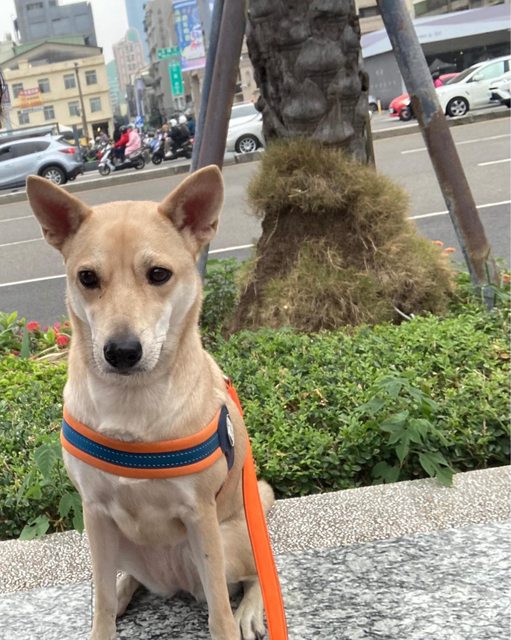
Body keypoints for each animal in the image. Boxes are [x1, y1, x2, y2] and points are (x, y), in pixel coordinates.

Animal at [27, 166, 274, 640]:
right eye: (87, 277)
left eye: (159, 274)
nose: (121, 351)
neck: (131, 402)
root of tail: (173, 581)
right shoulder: (94, 513)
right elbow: (101, 601)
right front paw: (102, 624)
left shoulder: (200, 516)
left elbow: (219, 609)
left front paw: (231, 620)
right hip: (117, 544)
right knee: (119, 582)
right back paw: (126, 590)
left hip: (229, 538)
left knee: (256, 574)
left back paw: (252, 609)